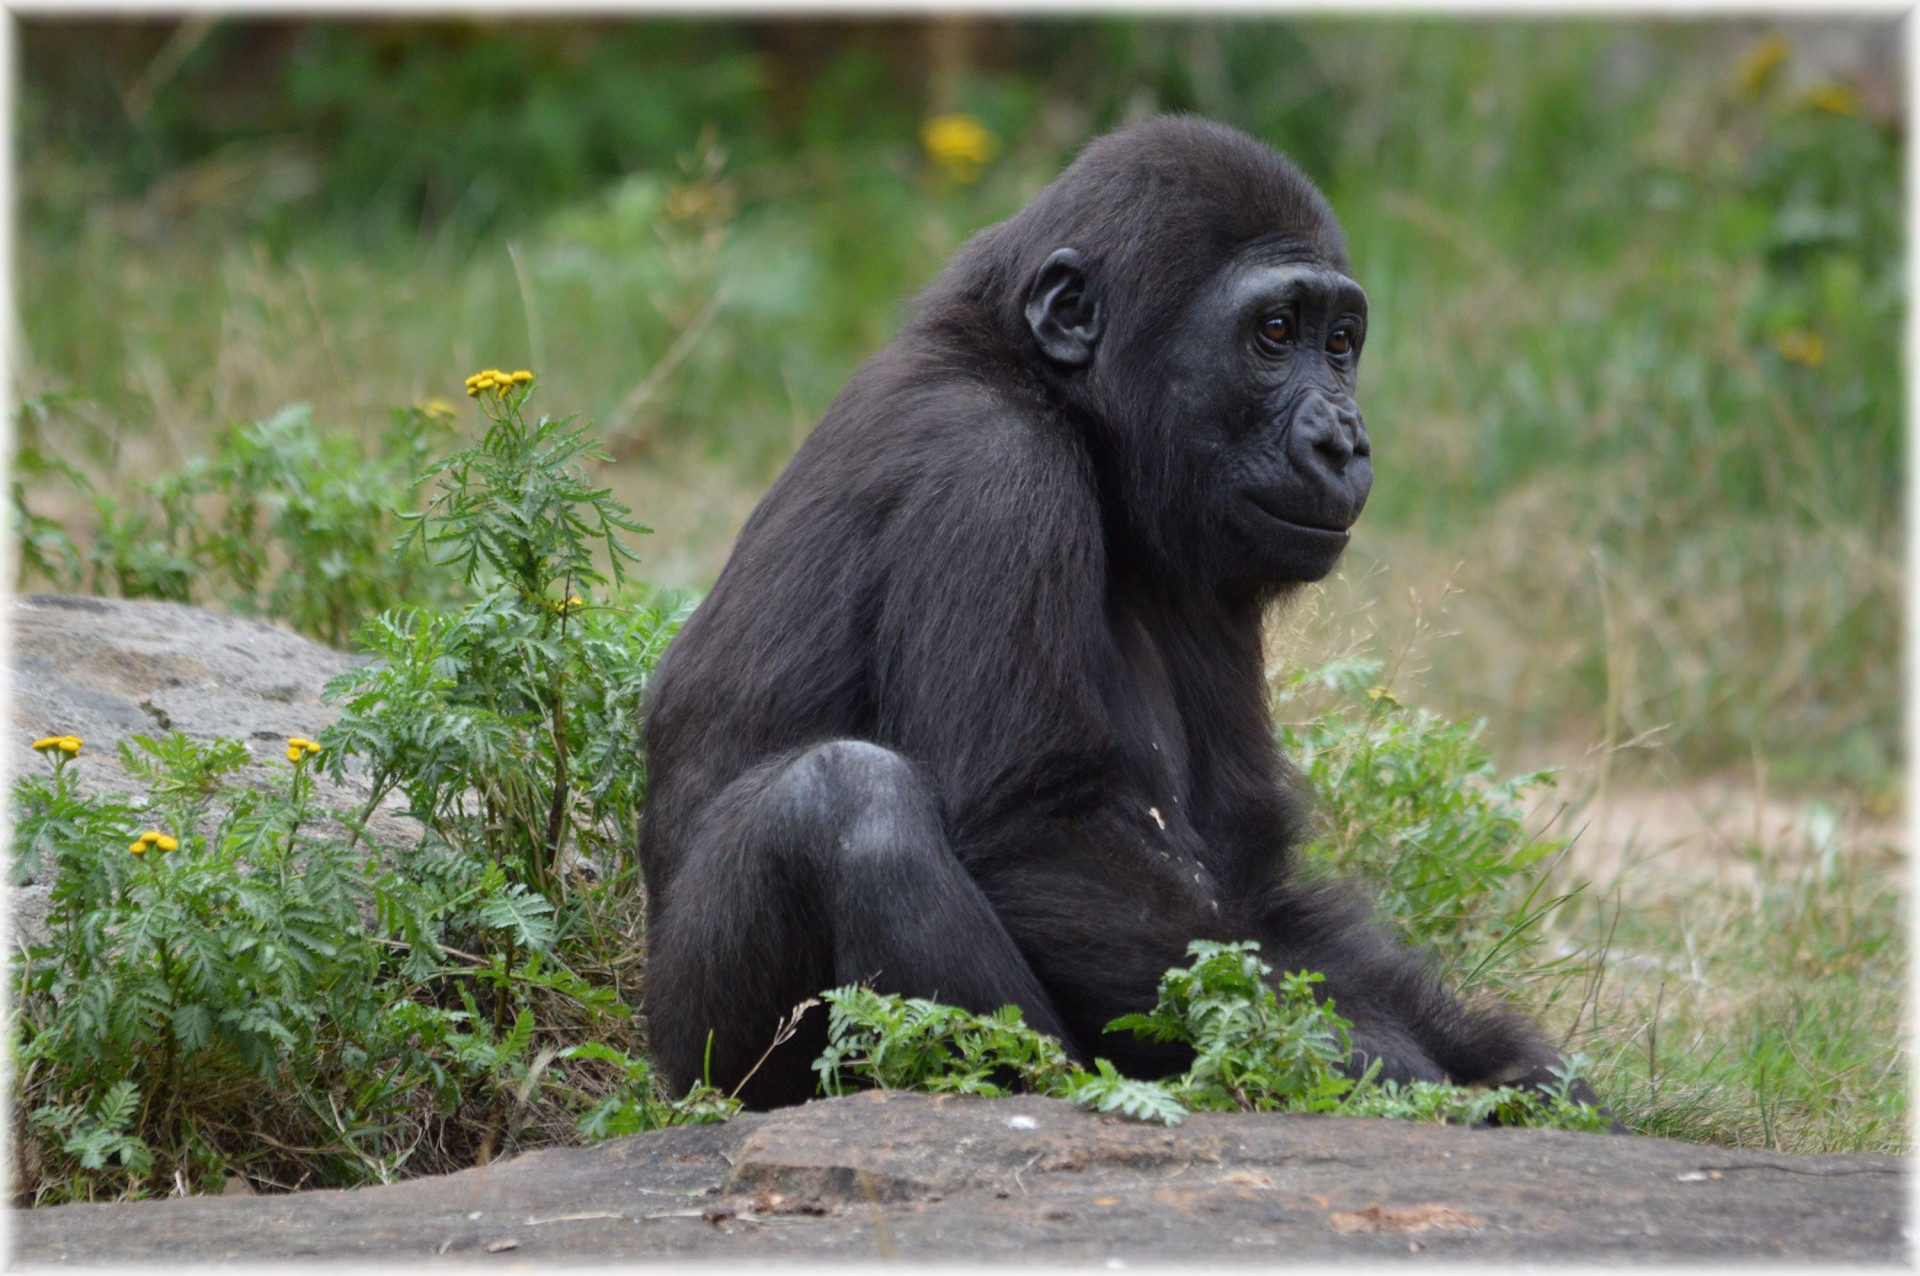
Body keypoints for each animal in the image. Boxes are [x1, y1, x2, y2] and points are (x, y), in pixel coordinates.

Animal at [641, 119, 1574, 1112]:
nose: (1344, 440)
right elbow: (1037, 831)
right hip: (711, 1064)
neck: (1057, 398)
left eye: (1340, 342)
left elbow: (1247, 879)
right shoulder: (994, 475)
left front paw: (1497, 1058)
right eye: (1276, 332)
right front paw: (1378, 1065)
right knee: (848, 806)